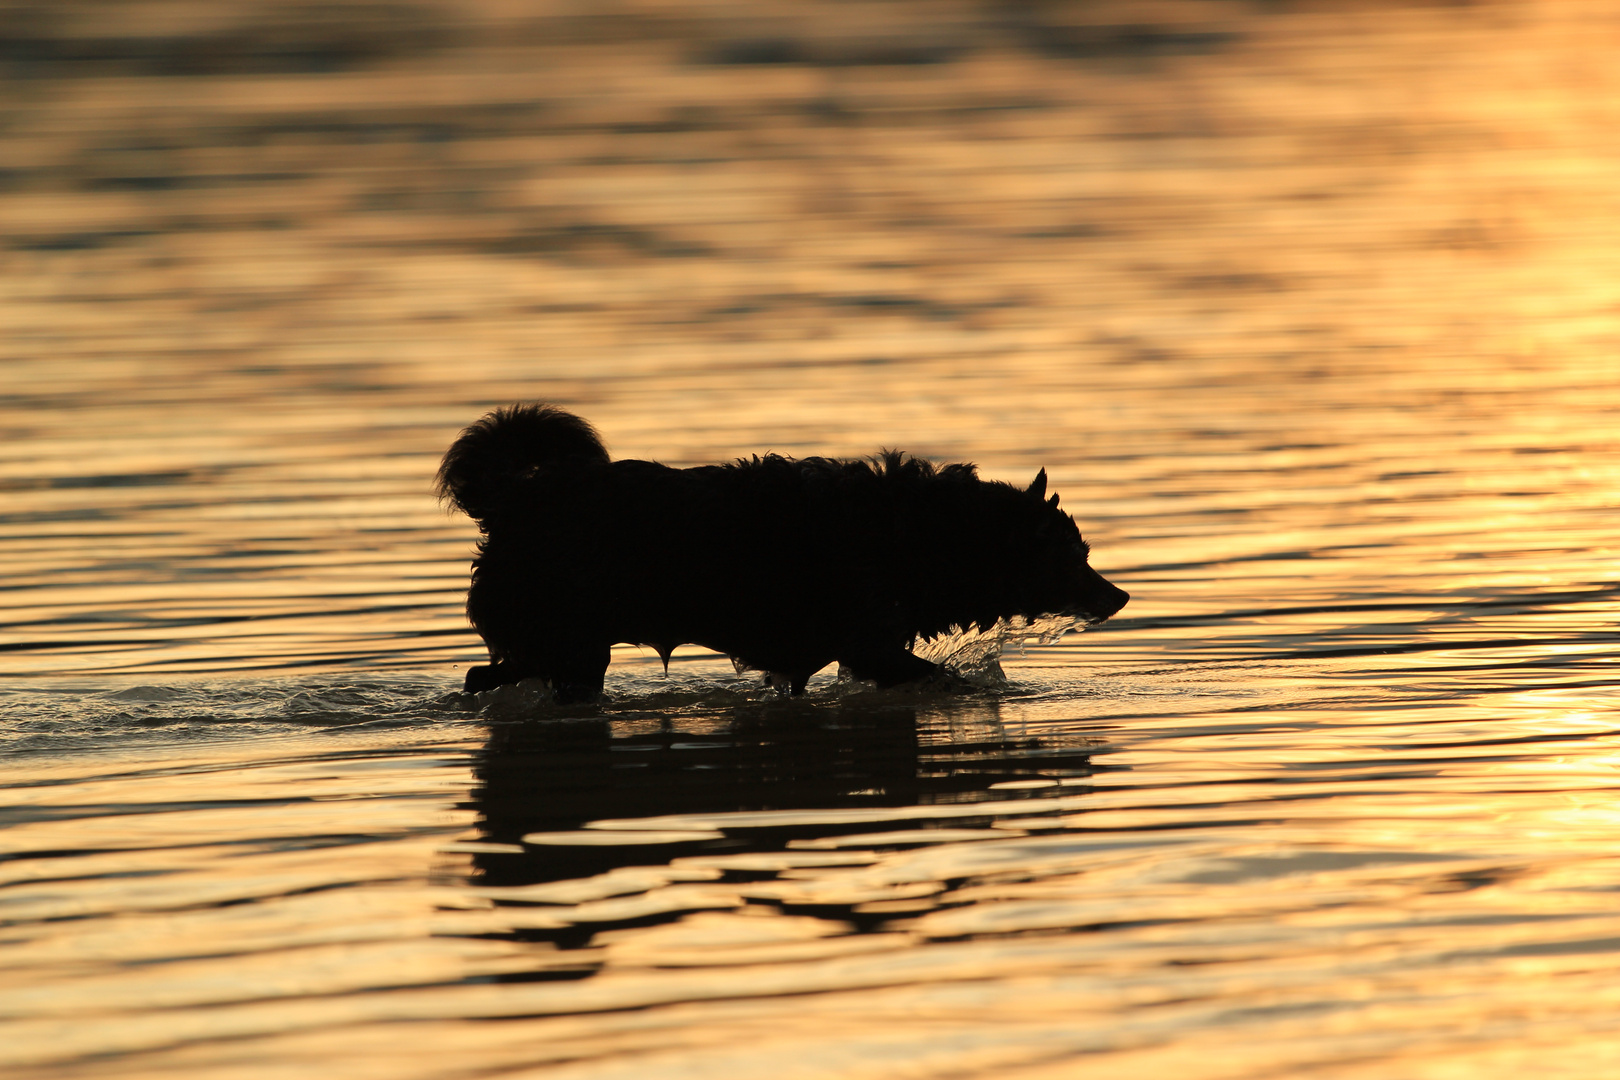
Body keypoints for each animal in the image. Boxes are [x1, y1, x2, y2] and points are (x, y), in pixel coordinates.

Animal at [440, 404, 1127, 702]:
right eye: (1072, 556)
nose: (1121, 596)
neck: (925, 530)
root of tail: (513, 501)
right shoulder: (871, 647)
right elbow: (941, 677)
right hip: (570, 645)